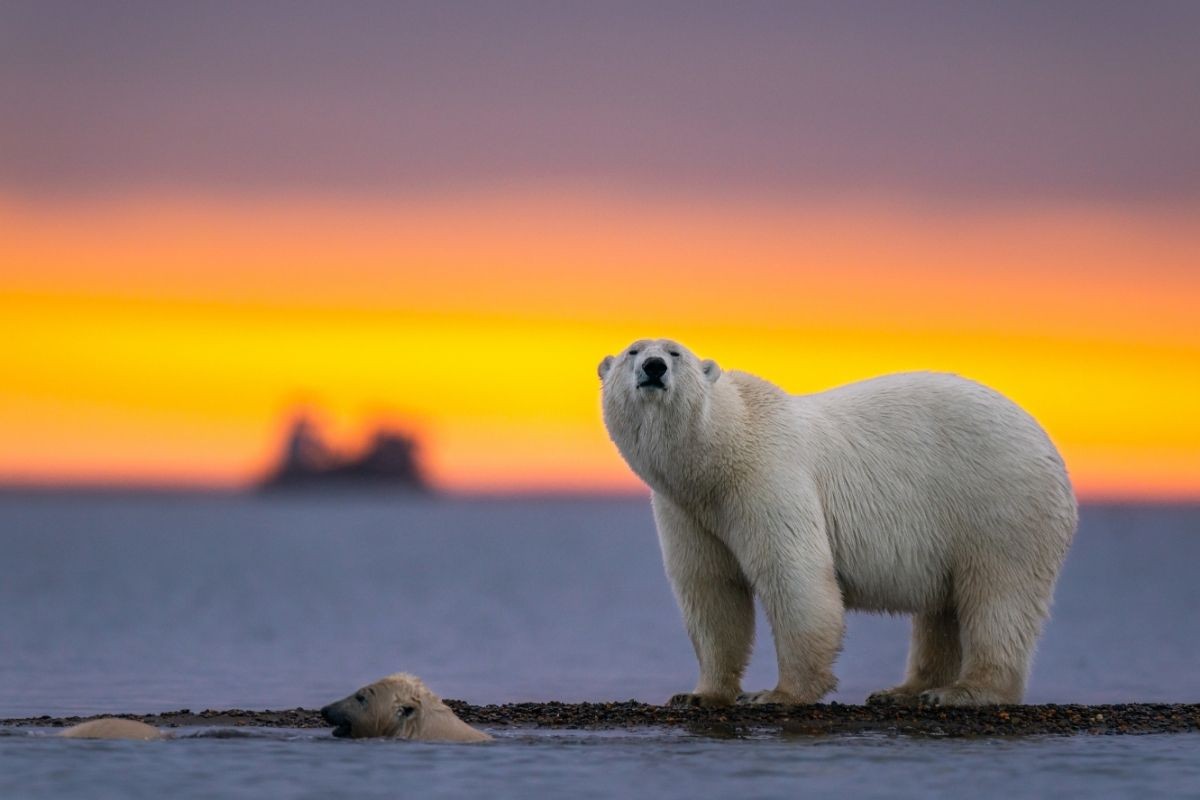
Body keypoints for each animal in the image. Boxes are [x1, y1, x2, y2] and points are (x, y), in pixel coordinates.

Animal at [600, 338, 1080, 705]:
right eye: (632, 350)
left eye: (675, 352)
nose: (654, 367)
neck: (719, 454)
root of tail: (1050, 448)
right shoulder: (686, 511)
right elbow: (711, 591)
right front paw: (699, 694)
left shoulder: (769, 477)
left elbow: (795, 577)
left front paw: (778, 694)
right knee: (942, 610)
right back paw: (904, 690)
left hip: (1001, 503)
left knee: (998, 596)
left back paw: (963, 691)